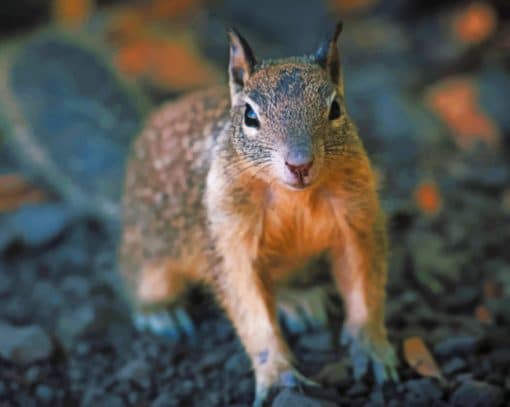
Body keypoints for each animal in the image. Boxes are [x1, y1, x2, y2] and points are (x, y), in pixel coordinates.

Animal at [119, 23, 398, 407]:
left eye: (335, 108)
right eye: (250, 116)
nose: (300, 164)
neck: (295, 197)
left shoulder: (357, 218)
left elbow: (362, 282)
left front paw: (371, 349)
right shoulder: (228, 237)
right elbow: (250, 307)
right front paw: (278, 376)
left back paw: (297, 300)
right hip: (150, 259)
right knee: (137, 281)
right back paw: (162, 312)